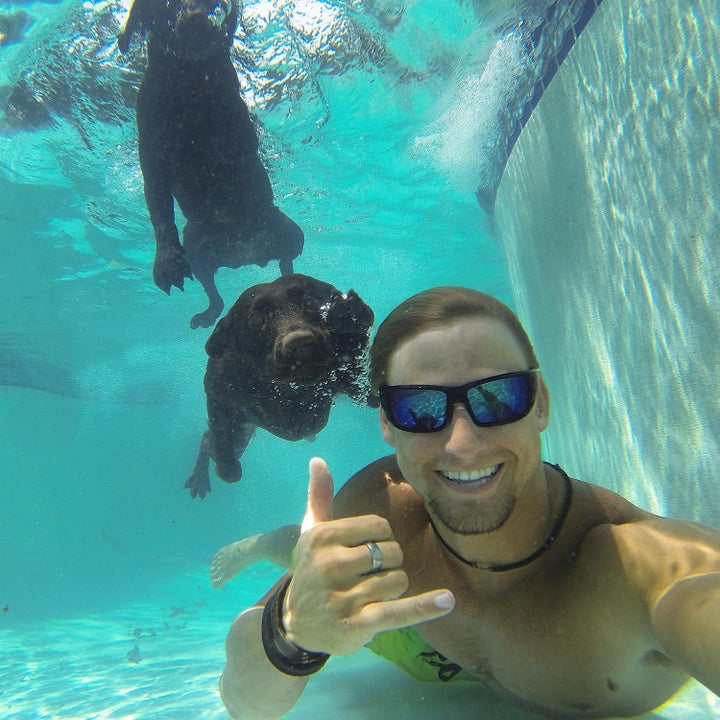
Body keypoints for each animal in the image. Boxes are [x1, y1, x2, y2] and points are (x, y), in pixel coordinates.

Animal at [116, 1, 302, 328]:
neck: (187, 79)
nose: (195, 20)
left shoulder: (232, 112)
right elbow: (159, 209)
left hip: (290, 232)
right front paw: (166, 263)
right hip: (195, 249)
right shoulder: (151, 153)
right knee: (213, 292)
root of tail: (243, 257)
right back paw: (206, 313)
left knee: (287, 261)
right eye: (162, 8)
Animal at [186, 276, 374, 500]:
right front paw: (228, 468)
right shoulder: (217, 390)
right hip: (239, 433)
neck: (291, 391)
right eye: (257, 320)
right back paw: (200, 478)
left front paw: (348, 313)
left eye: (309, 301)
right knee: (209, 439)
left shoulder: (354, 379)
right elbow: (222, 446)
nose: (299, 343)